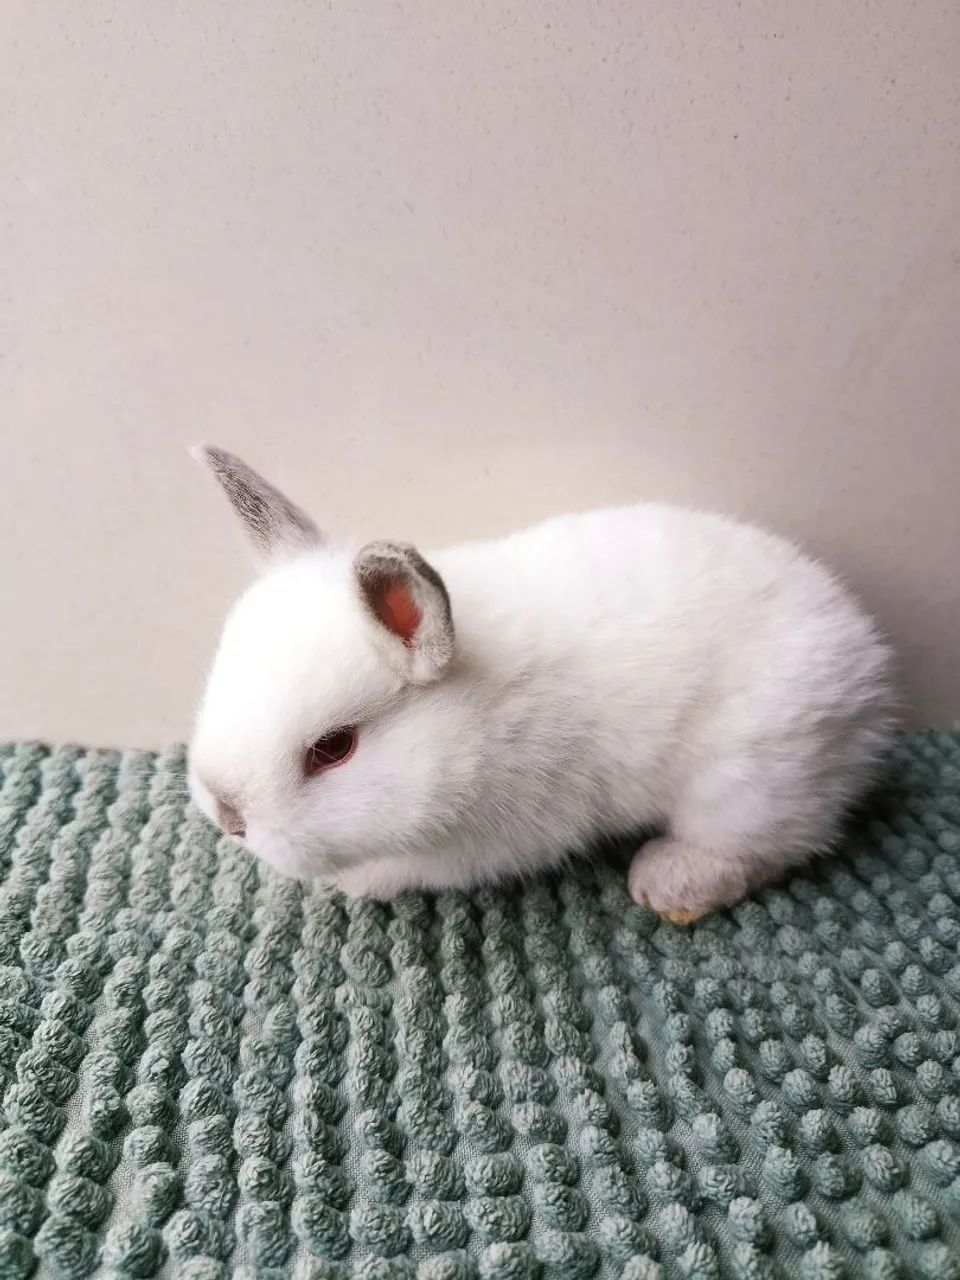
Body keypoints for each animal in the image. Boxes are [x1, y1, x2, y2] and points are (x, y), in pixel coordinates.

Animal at [188, 445, 896, 922]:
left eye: (333, 749)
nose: (229, 818)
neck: (477, 714)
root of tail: (871, 670)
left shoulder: (491, 842)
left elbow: (406, 868)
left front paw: (354, 883)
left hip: (752, 780)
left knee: (765, 847)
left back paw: (664, 884)